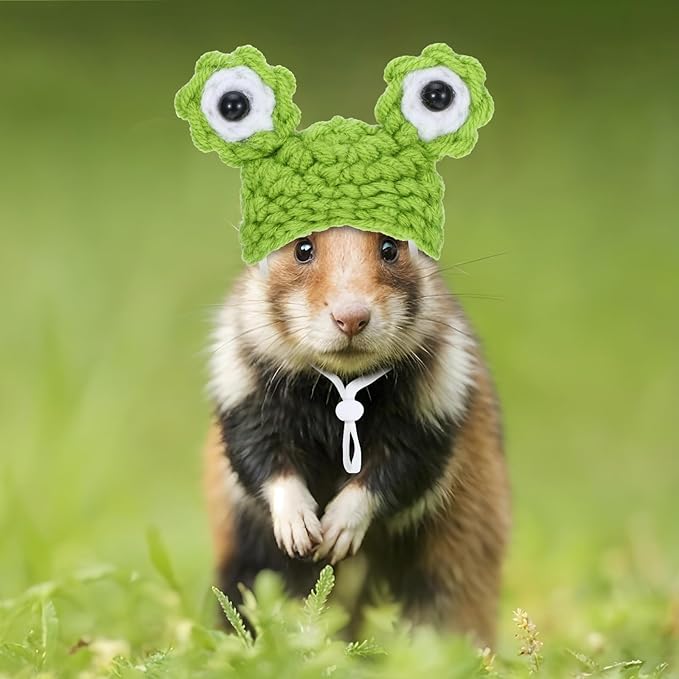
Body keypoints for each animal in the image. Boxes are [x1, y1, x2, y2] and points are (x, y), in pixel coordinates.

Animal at [203, 226, 510, 646]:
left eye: (390, 248)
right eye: (302, 248)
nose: (351, 318)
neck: (335, 392)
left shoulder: (429, 422)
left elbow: (389, 476)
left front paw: (334, 535)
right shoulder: (245, 402)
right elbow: (265, 462)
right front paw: (302, 533)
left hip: (452, 561)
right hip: (246, 557)